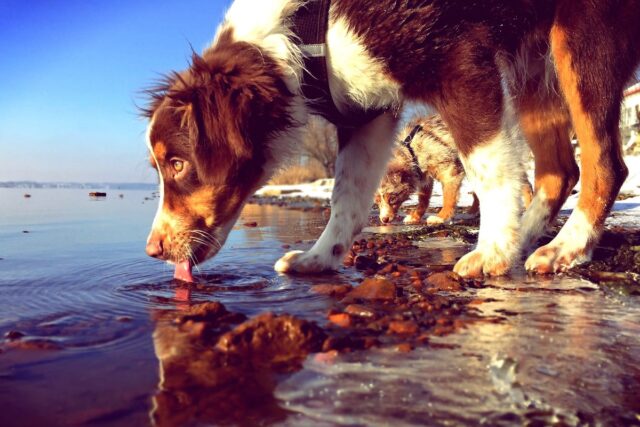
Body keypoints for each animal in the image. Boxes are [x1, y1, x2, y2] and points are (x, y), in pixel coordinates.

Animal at [376, 113, 536, 227]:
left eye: (392, 198)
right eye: (377, 201)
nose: (384, 220)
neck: (411, 149)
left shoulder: (450, 172)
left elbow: (448, 198)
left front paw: (441, 217)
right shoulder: (424, 177)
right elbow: (423, 200)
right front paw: (415, 216)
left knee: (526, 185)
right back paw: (471, 213)